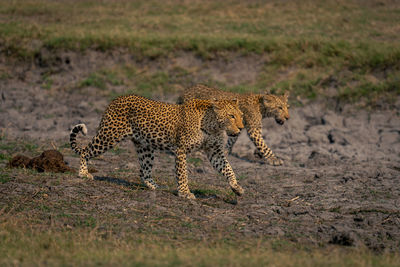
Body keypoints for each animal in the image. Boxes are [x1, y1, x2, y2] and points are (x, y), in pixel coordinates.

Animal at [69, 95, 244, 200]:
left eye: (241, 116)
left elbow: (228, 168)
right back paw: (83, 173)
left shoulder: (215, 152)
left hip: (145, 147)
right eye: (231, 116)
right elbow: (182, 174)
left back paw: (155, 187)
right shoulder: (181, 150)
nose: (242, 128)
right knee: (85, 151)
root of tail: (114, 100)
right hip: (109, 136)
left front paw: (236, 187)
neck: (212, 125)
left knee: (143, 171)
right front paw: (185, 193)